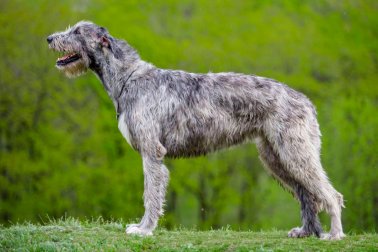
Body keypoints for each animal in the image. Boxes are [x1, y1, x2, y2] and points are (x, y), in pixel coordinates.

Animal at [47, 20, 346, 239]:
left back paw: (334, 235)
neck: (128, 78)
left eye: (77, 31)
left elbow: (150, 193)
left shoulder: (152, 152)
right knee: (308, 194)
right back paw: (306, 232)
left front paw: (144, 229)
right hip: (276, 157)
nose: (49, 38)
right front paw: (144, 227)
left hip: (295, 151)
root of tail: (306, 101)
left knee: (331, 195)